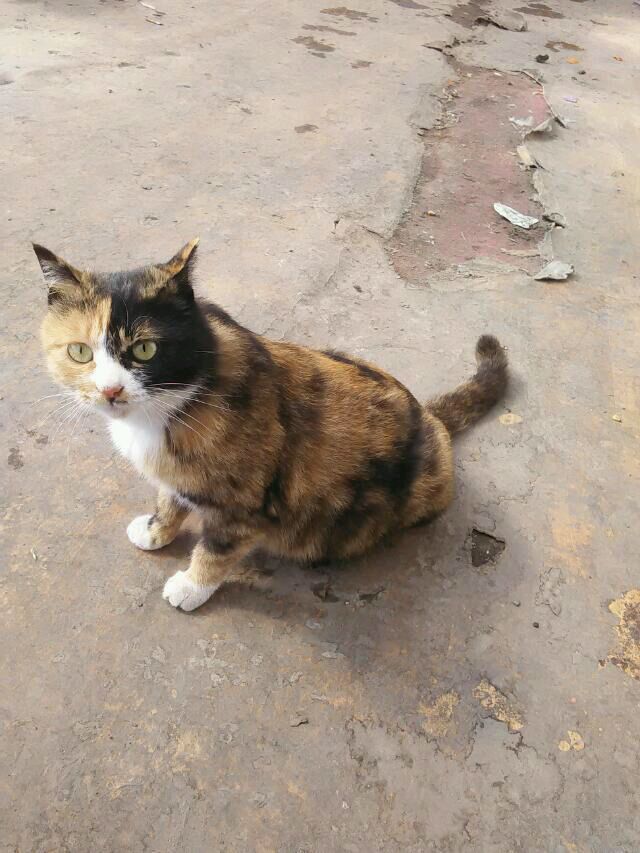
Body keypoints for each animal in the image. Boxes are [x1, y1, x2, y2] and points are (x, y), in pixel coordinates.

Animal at [36, 239, 508, 612]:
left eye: (145, 349)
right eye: (80, 352)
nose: (110, 391)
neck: (177, 405)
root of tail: (432, 418)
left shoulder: (245, 506)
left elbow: (216, 549)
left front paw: (191, 586)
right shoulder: (176, 477)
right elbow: (170, 499)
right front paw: (156, 531)